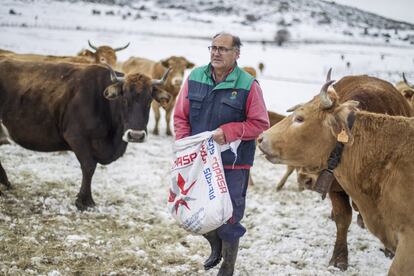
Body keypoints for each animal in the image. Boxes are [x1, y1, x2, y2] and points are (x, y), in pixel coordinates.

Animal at [0, 58, 171, 209]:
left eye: (149, 100)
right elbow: (89, 167)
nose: (136, 135)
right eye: (124, 99)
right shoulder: (76, 137)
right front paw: (84, 200)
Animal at [258, 72, 414, 274]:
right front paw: (339, 258)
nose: (260, 138)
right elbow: (342, 219)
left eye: (299, 118)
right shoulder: (334, 187)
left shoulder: (407, 239)